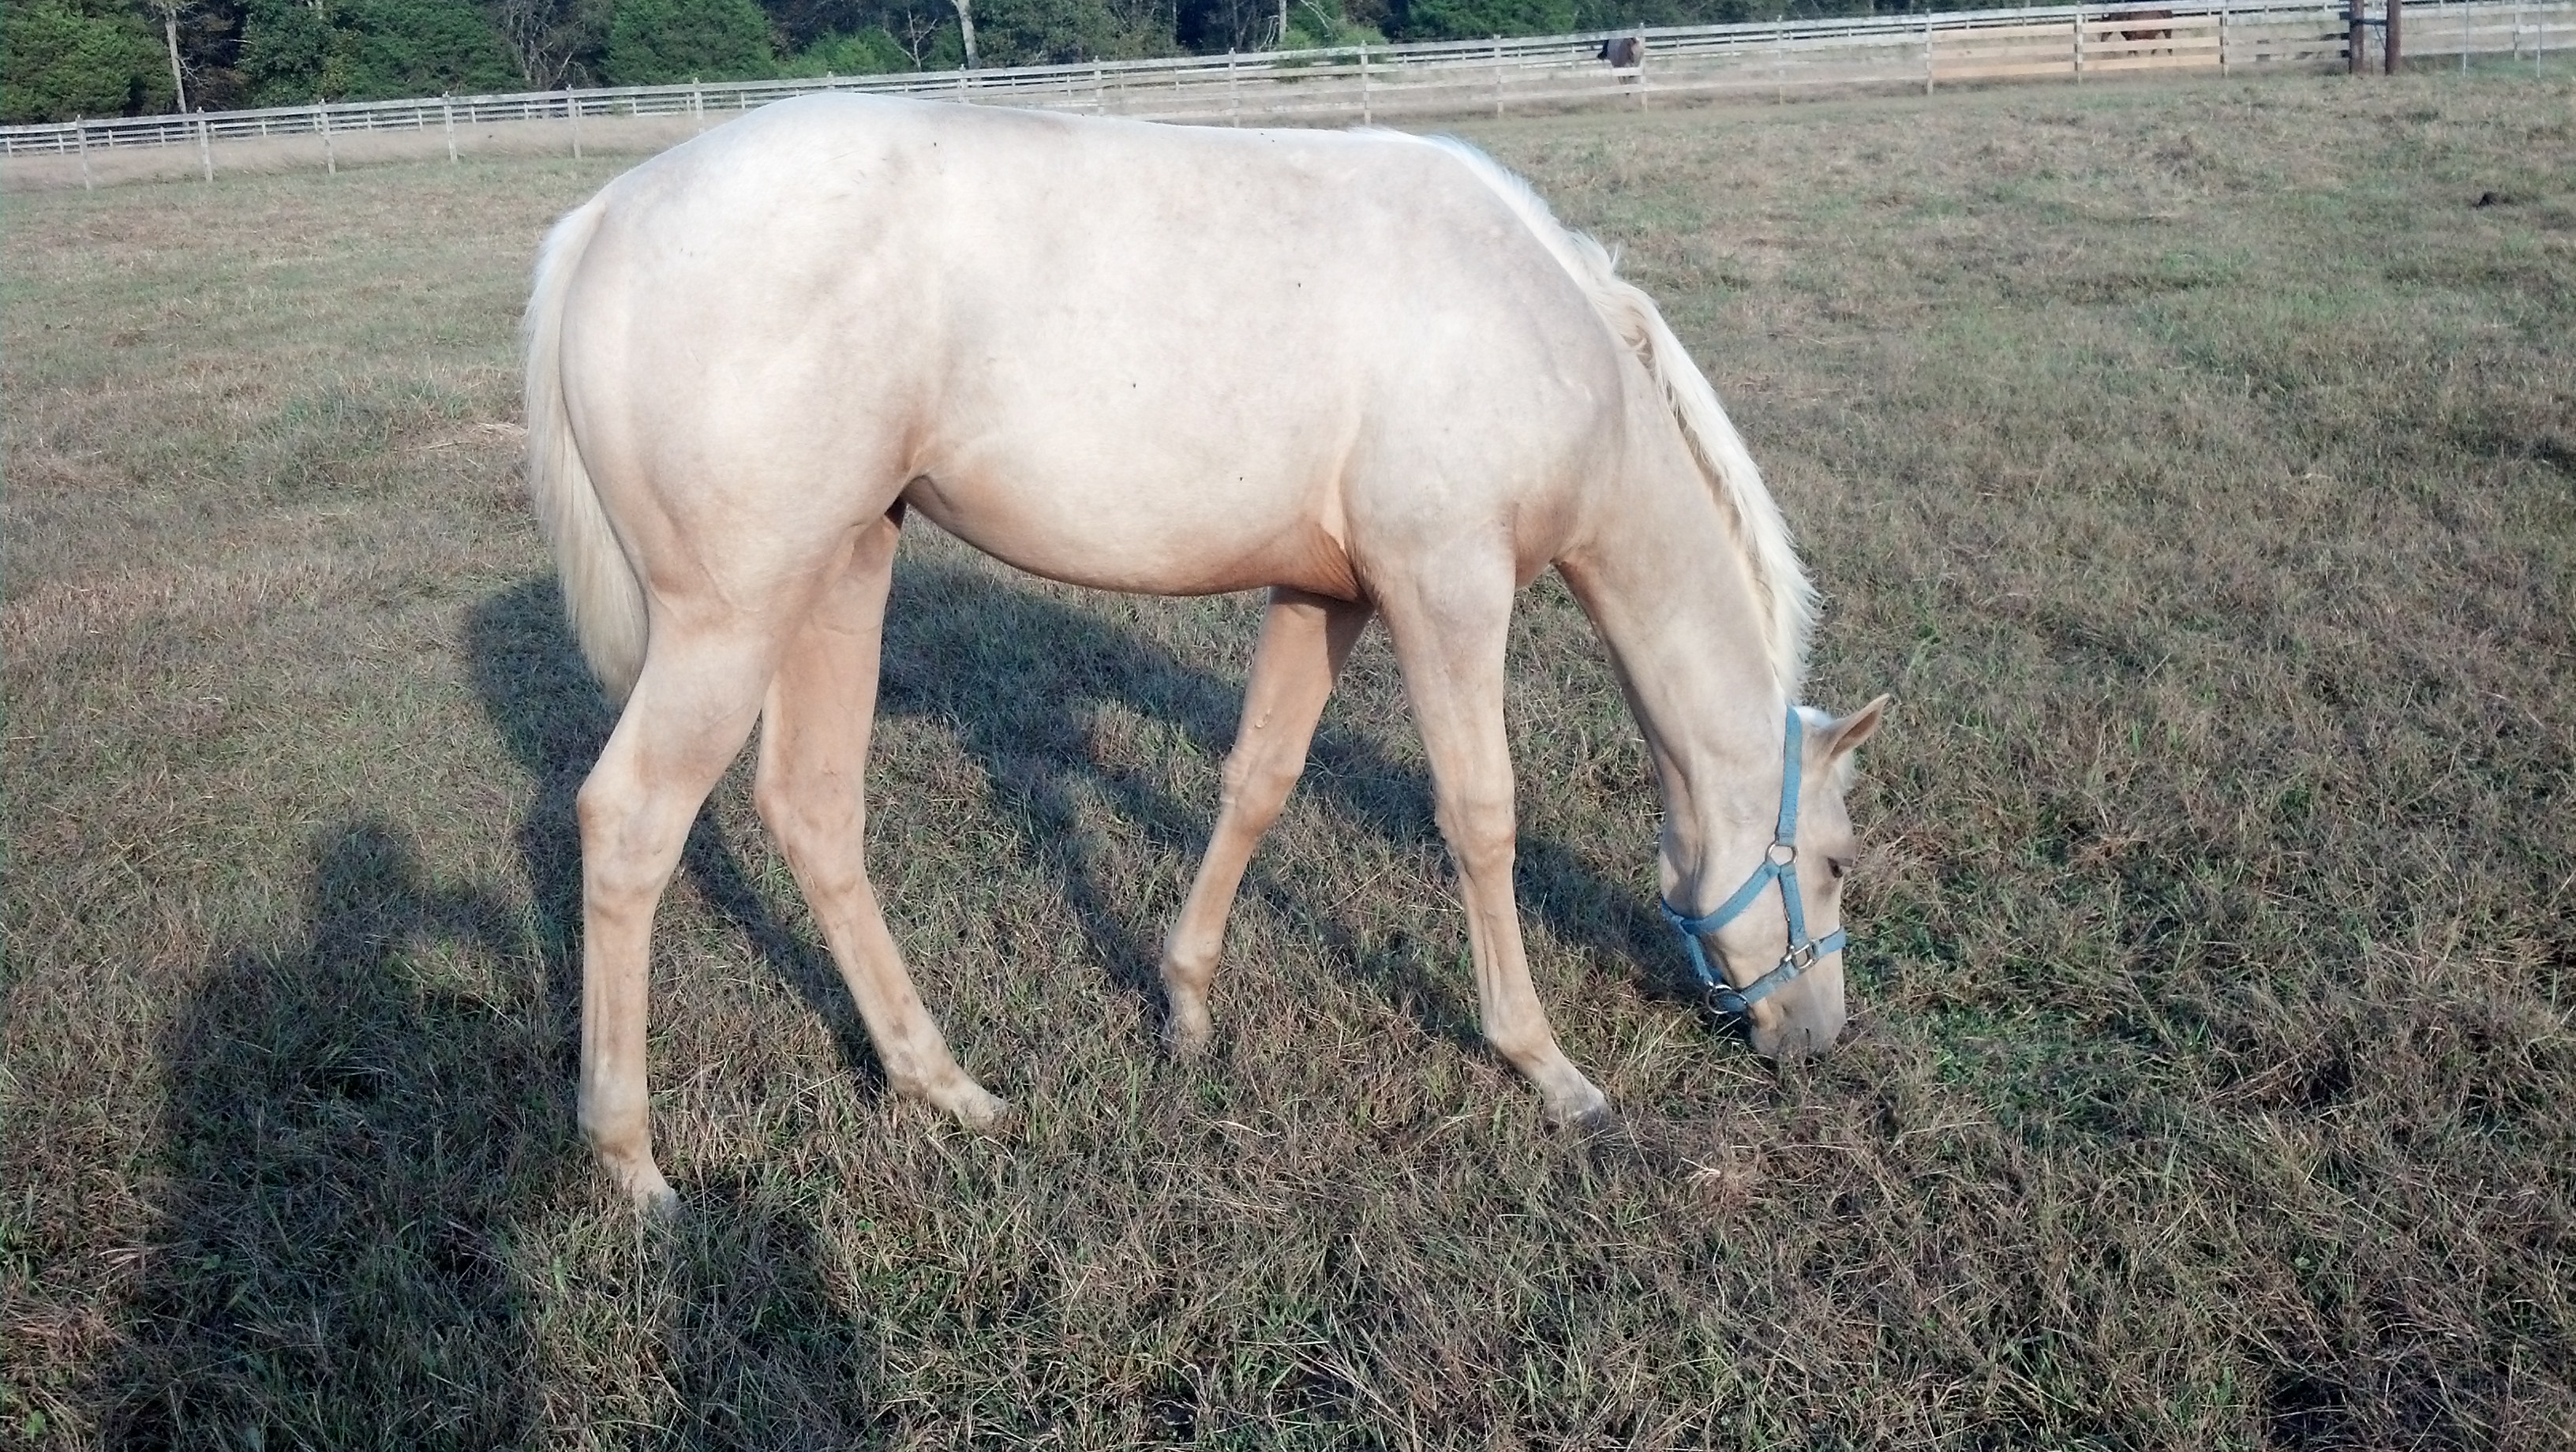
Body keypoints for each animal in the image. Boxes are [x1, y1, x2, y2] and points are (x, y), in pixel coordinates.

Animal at [523, 94, 1889, 1213]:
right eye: (1833, 864)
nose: (1814, 1037)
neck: (1540, 328)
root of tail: (602, 218)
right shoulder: (1448, 588)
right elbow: (1481, 815)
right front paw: (1546, 1067)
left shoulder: (1324, 594)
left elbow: (1257, 783)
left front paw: (1183, 1004)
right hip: (733, 617)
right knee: (630, 825)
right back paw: (633, 1163)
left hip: (846, 569)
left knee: (812, 810)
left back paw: (942, 1085)